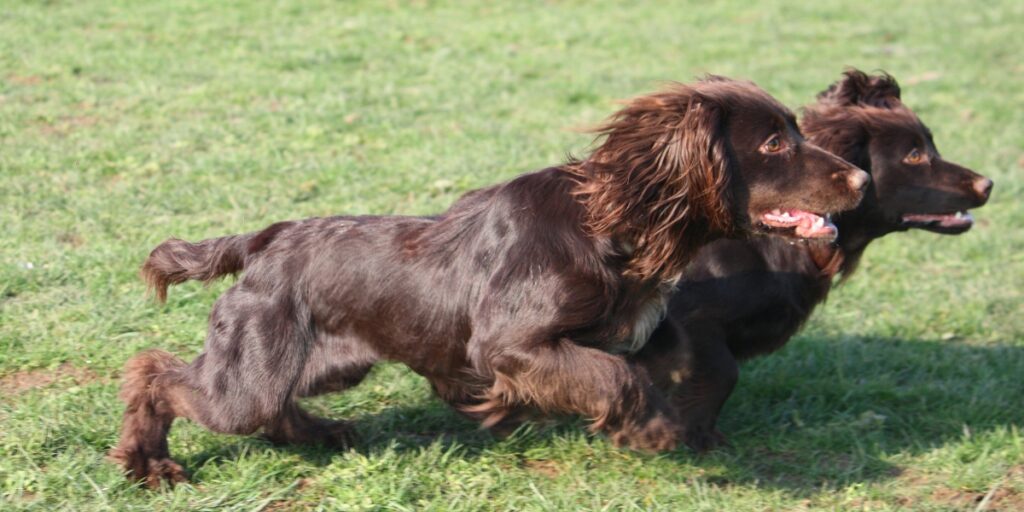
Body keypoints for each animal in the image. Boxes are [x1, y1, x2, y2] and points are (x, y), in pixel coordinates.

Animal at [110, 76, 864, 487]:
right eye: (774, 142)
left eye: (796, 129)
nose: (859, 179)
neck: (615, 225)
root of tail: (264, 239)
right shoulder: (510, 345)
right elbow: (617, 377)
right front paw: (649, 430)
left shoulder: (640, 330)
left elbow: (674, 361)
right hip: (254, 370)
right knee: (157, 374)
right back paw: (150, 464)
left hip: (329, 359)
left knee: (271, 407)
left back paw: (324, 434)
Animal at [634, 69, 995, 452]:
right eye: (913, 155)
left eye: (931, 146)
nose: (987, 184)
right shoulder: (690, 318)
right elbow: (722, 372)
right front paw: (692, 432)